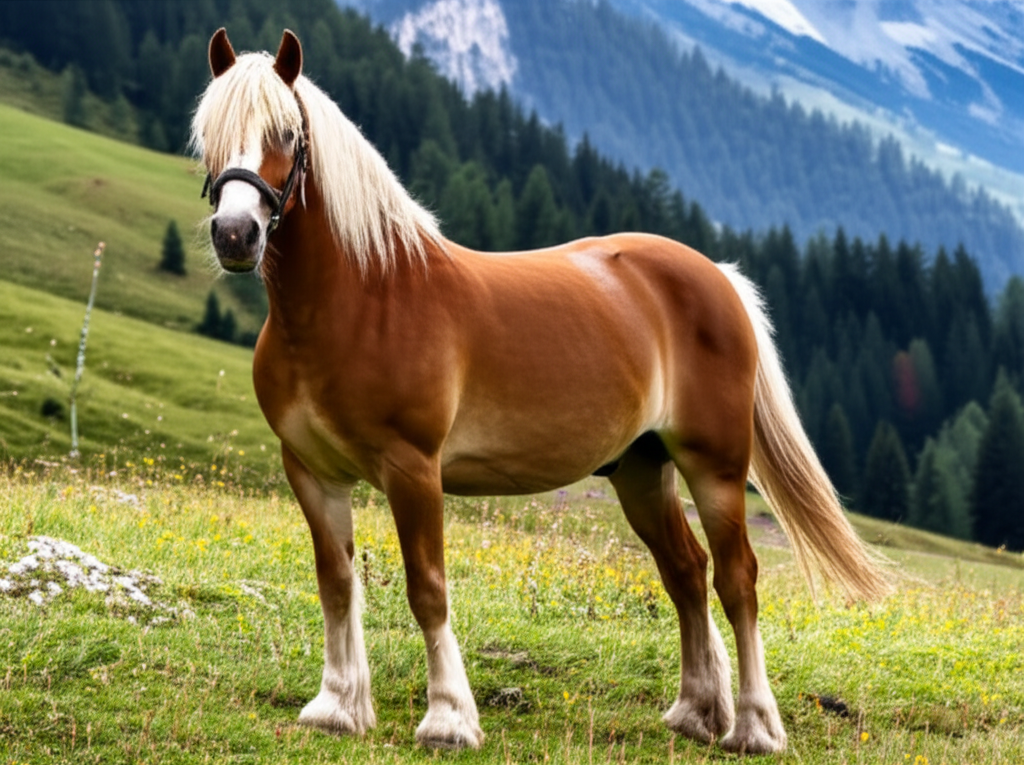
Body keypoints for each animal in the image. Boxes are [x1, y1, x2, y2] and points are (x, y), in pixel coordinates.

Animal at [190, 28, 890, 754]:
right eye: (207, 133)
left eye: (286, 133)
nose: (237, 234)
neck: (363, 298)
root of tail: (717, 277)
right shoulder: (312, 471)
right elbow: (335, 583)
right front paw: (337, 706)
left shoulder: (413, 469)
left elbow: (427, 588)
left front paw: (448, 718)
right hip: (641, 471)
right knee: (685, 571)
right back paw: (696, 711)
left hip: (715, 467)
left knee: (737, 578)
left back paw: (752, 726)